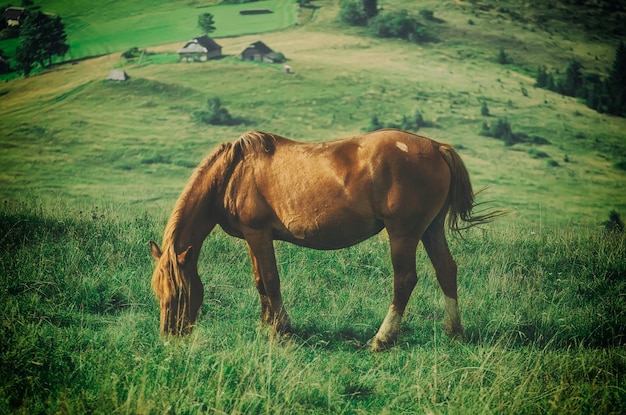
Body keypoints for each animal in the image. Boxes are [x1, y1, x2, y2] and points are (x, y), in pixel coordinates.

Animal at [147, 130, 498, 352]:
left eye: (180, 292)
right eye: (158, 292)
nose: (168, 336)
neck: (232, 173)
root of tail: (436, 147)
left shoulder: (258, 233)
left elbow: (270, 281)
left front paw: (280, 330)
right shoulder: (251, 236)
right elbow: (260, 281)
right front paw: (266, 325)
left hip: (403, 233)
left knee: (405, 279)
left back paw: (382, 339)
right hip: (430, 230)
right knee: (446, 271)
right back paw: (454, 332)